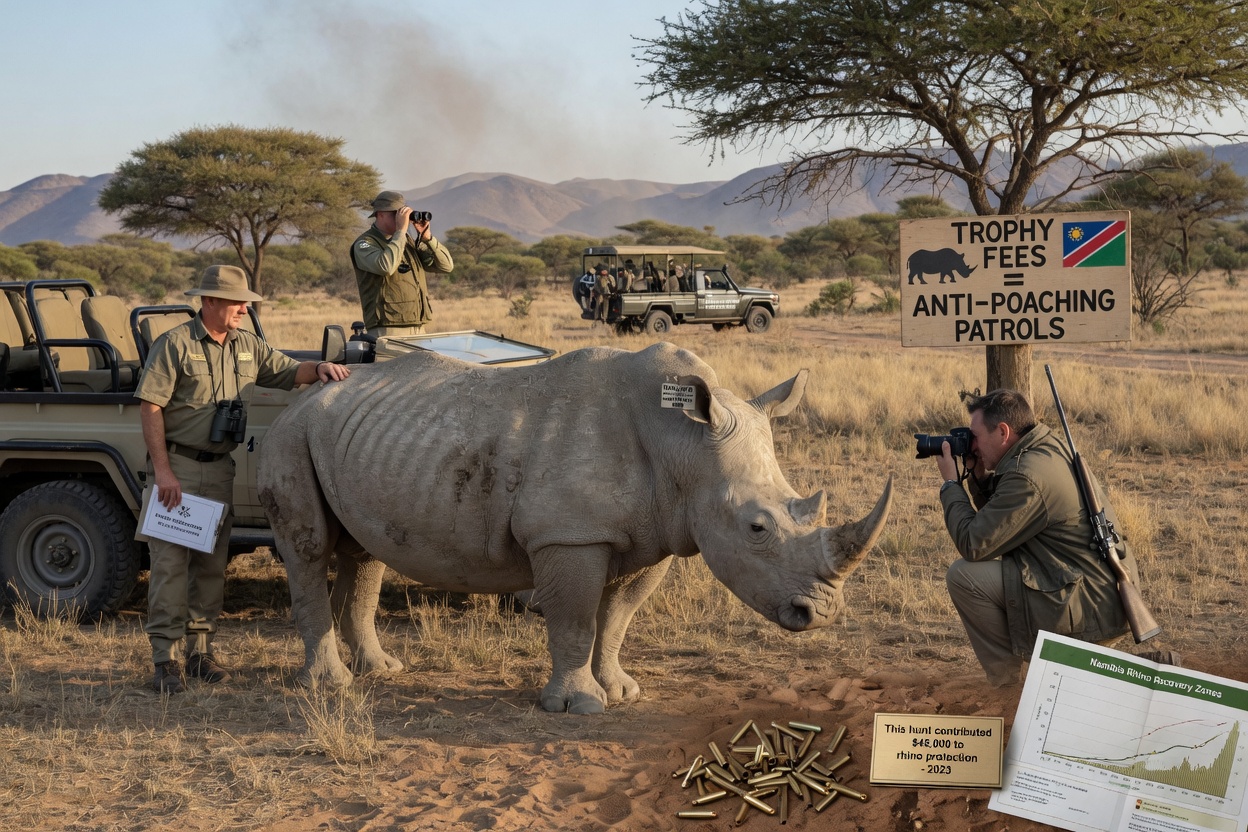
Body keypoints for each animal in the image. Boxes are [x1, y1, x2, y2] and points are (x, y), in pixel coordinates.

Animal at [258, 342, 892, 714]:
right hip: (291, 434)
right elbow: (575, 617)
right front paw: (578, 707)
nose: (821, 614)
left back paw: (381, 671)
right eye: (757, 528)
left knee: (362, 551)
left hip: (358, 440)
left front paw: (621, 690)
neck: (685, 444)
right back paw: (331, 687)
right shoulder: (569, 534)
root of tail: (306, 393)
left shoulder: (658, 532)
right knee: (309, 548)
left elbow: (616, 619)